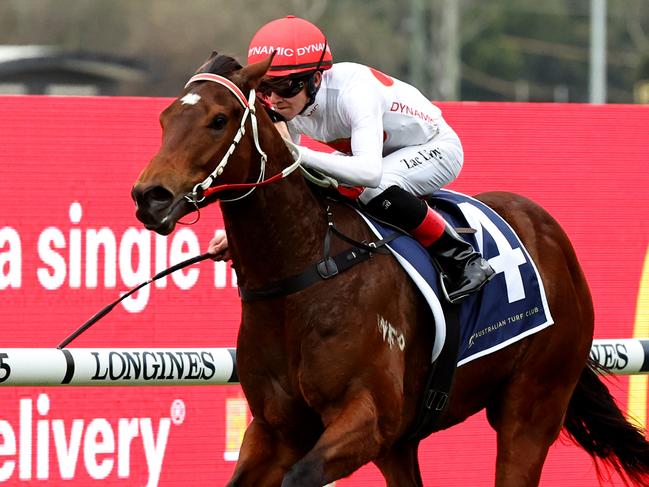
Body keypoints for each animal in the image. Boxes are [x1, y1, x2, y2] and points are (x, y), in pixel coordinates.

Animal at [130, 51, 648, 486]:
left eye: (218, 120)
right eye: (165, 117)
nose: (149, 196)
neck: (304, 271)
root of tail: (548, 230)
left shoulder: (368, 416)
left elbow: (302, 475)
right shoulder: (277, 429)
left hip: (532, 406)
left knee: (383, 184)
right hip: (403, 442)